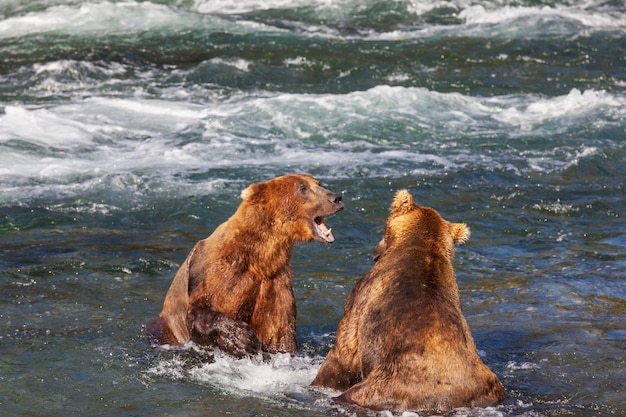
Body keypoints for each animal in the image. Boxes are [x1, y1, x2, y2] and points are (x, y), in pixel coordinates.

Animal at [151, 172, 344, 358]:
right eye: (302, 188)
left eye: (319, 183)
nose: (336, 198)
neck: (259, 255)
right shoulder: (214, 273)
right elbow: (198, 311)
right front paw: (240, 338)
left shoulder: (275, 282)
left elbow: (280, 331)